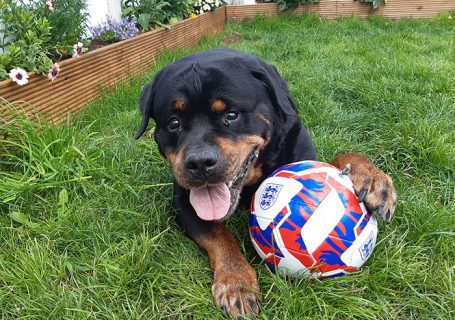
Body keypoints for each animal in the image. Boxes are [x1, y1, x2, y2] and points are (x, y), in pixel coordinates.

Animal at [134, 48, 396, 318]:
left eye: (231, 115)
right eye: (173, 123)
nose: (199, 162)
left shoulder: (302, 156)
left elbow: (339, 159)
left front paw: (372, 177)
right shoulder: (183, 202)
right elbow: (218, 234)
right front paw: (236, 282)